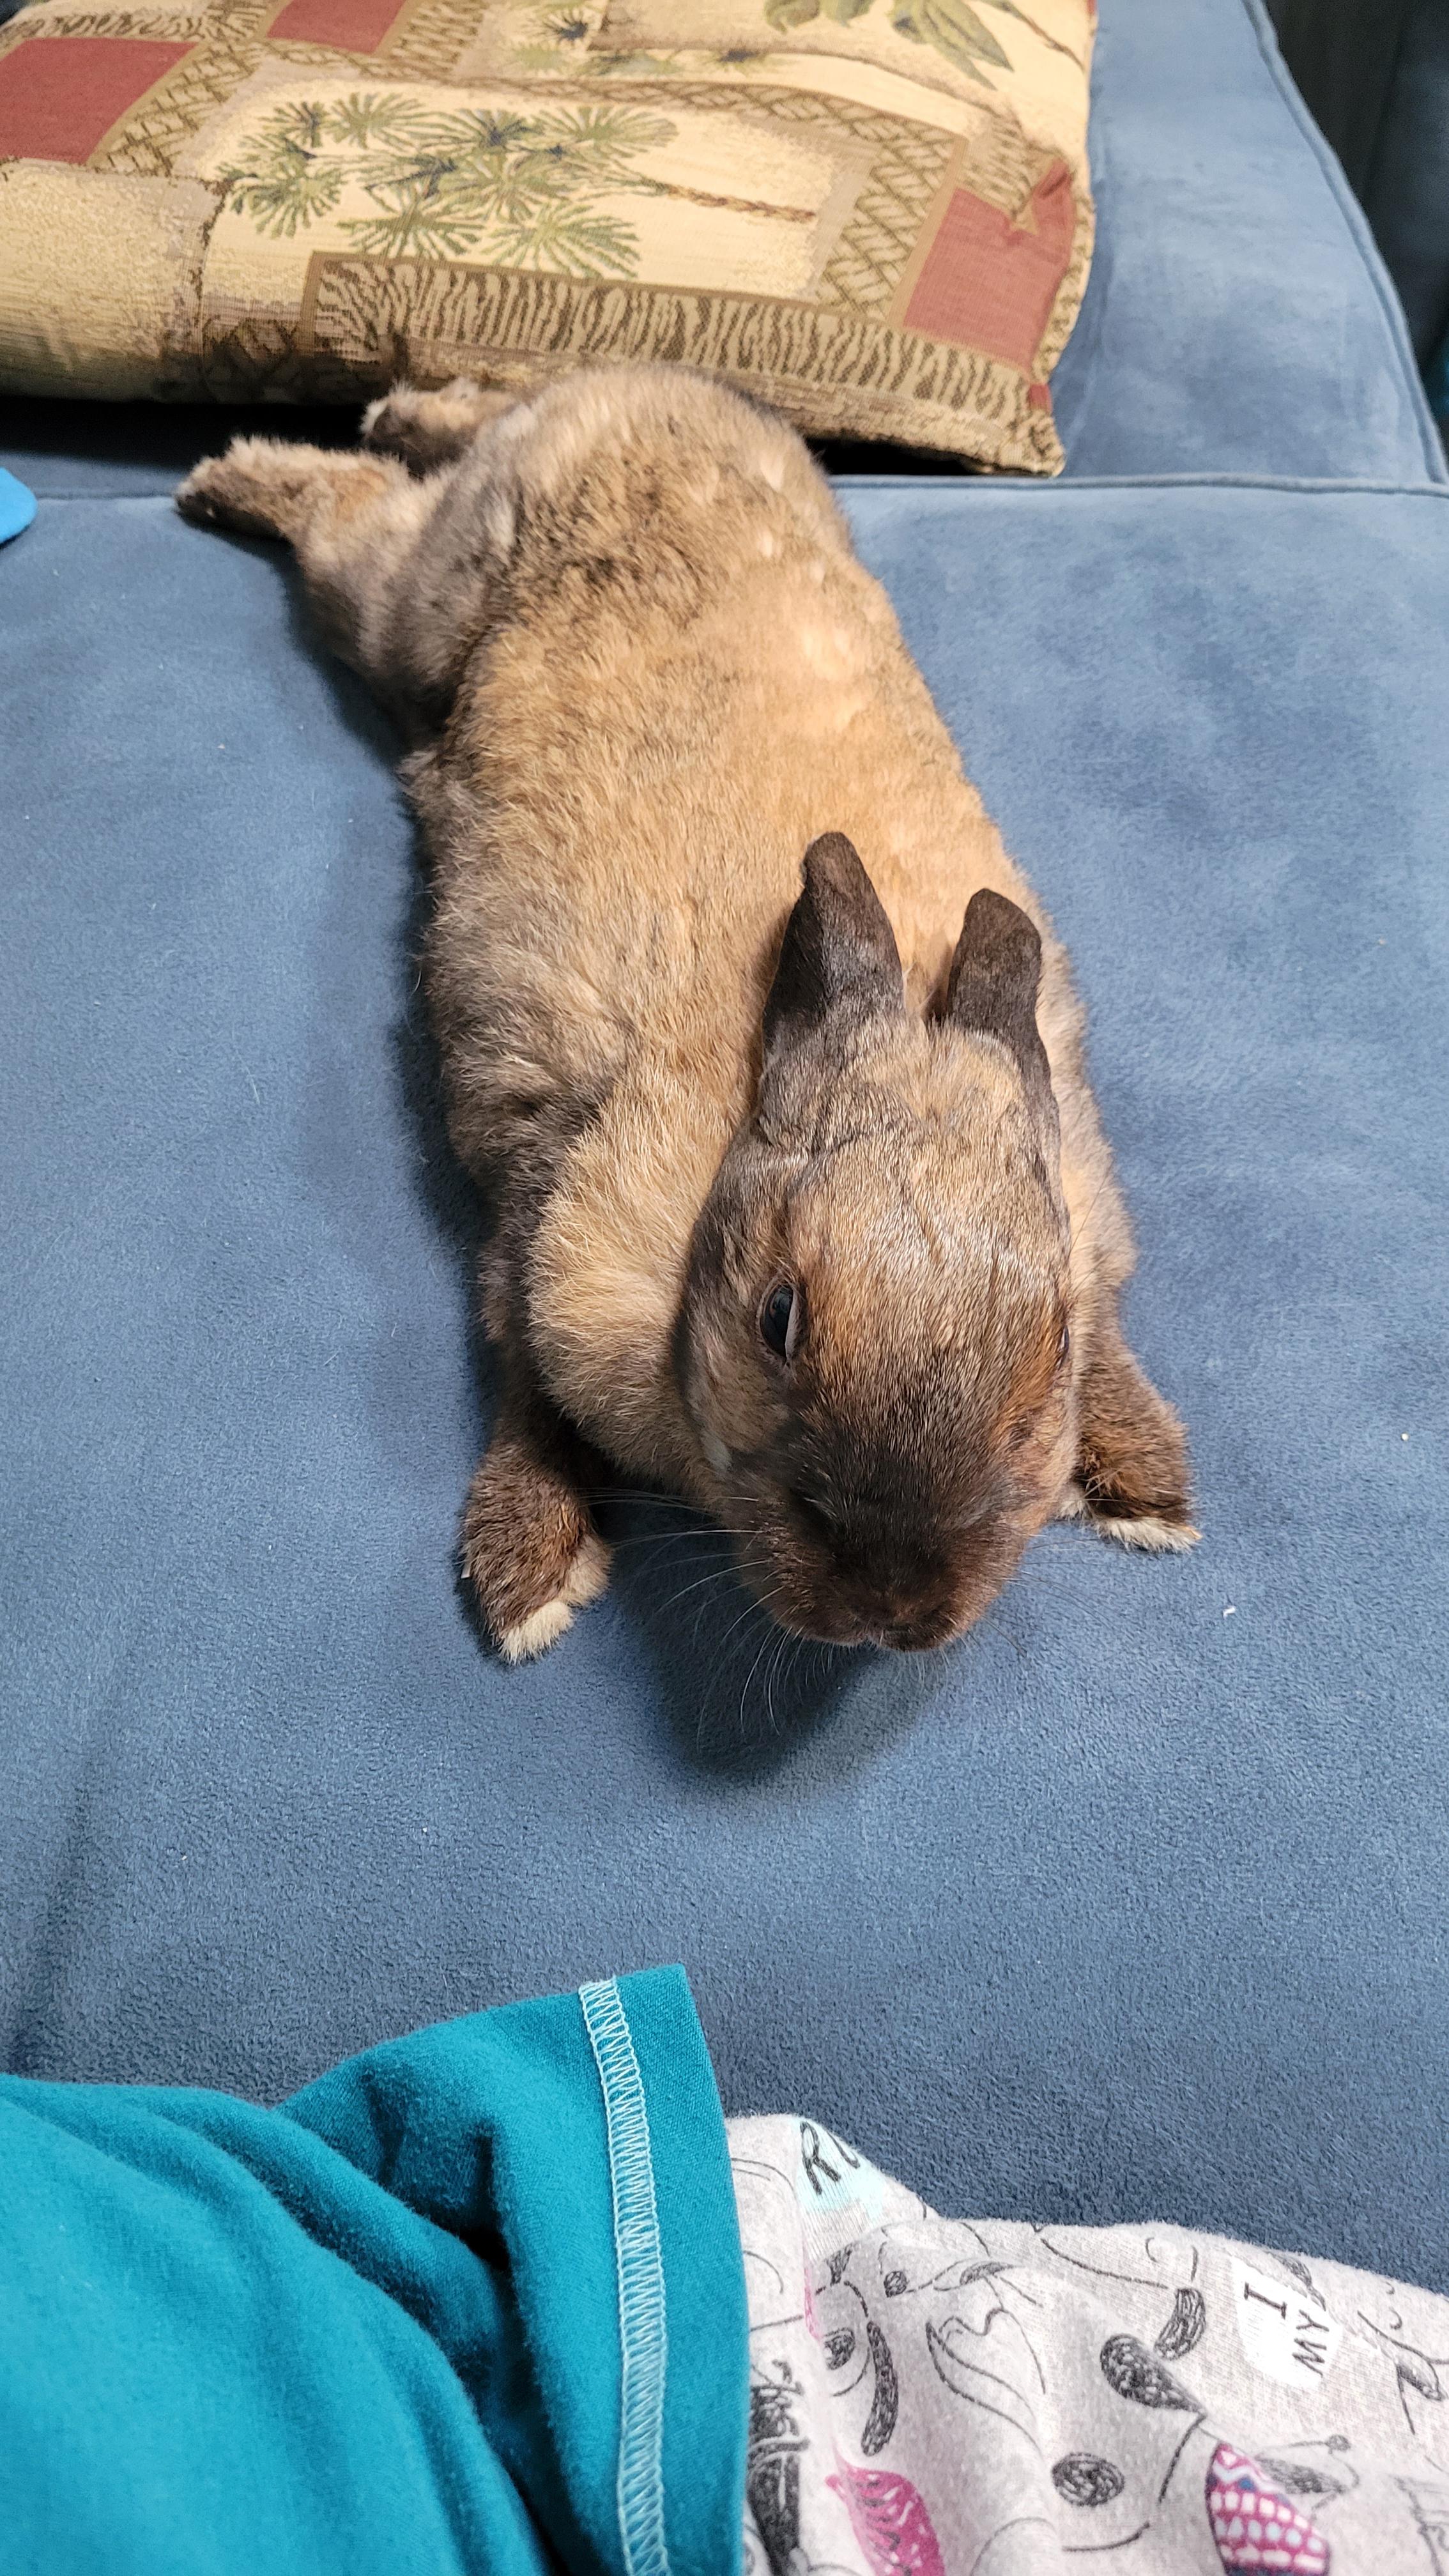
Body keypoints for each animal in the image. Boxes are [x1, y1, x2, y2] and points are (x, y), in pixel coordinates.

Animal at [176, 364, 1195, 1663]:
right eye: (778, 1320)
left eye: (1051, 1350)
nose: (889, 1607)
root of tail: (632, 382)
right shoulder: (544, 1202)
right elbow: (520, 1367)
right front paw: (527, 1575)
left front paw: (1146, 1484)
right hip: (417, 601)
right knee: (351, 512)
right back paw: (233, 476)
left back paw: (400, 412)